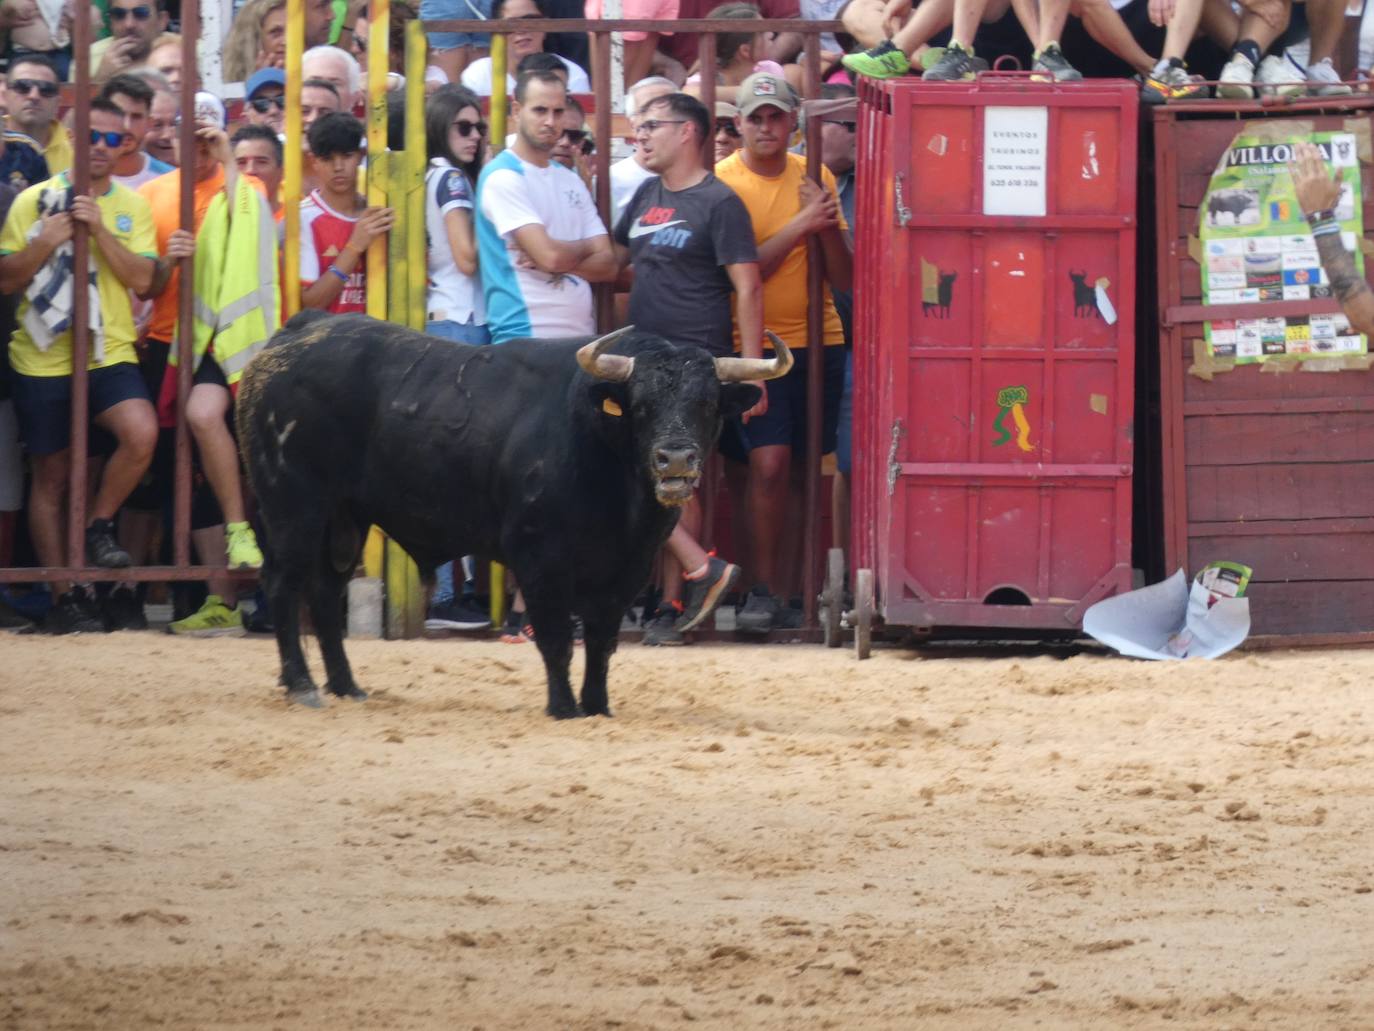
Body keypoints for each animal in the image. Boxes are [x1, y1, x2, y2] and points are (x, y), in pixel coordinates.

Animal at [237, 310, 796, 720]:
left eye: (707, 405)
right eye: (640, 405)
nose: (675, 460)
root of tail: (298, 330)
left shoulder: (624, 572)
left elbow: (601, 644)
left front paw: (598, 708)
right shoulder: (539, 559)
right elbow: (556, 640)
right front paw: (564, 709)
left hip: (344, 518)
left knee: (325, 593)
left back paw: (346, 687)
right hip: (293, 506)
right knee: (285, 584)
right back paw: (303, 685)